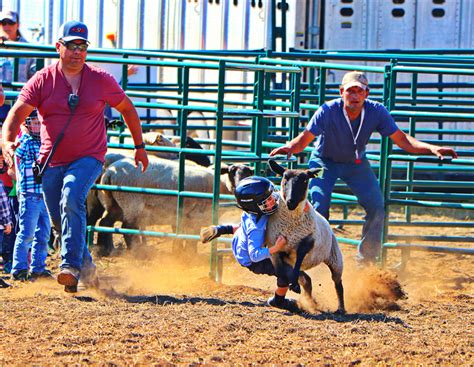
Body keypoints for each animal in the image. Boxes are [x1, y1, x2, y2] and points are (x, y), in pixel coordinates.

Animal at [264, 160, 346, 314]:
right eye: (284, 178)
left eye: (305, 180)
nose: (290, 201)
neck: (291, 225)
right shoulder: (274, 249)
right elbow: (281, 275)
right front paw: (286, 288)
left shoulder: (308, 241)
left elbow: (300, 255)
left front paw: (294, 285)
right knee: (307, 280)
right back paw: (312, 301)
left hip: (335, 258)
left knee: (338, 283)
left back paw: (341, 309)